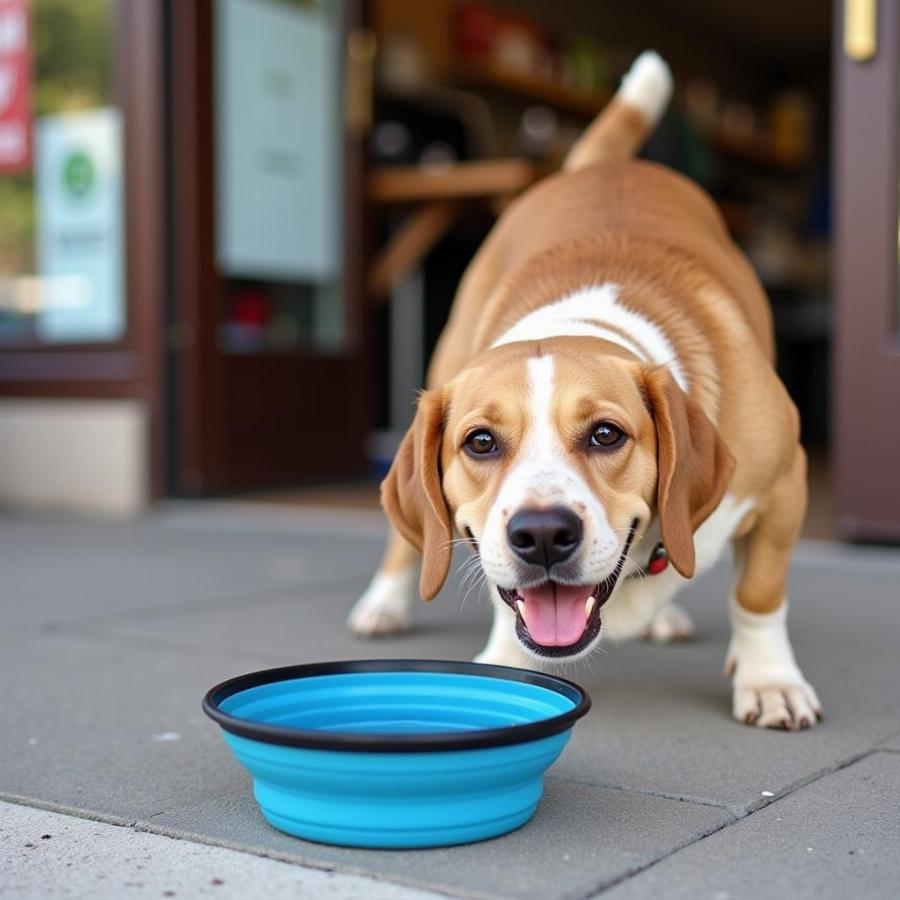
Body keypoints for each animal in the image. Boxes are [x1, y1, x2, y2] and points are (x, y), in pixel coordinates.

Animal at [350, 52, 824, 732]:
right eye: (480, 443)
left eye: (605, 434)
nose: (543, 534)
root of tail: (603, 166)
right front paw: (501, 664)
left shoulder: (786, 481)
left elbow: (758, 595)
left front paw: (769, 680)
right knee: (403, 541)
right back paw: (384, 603)